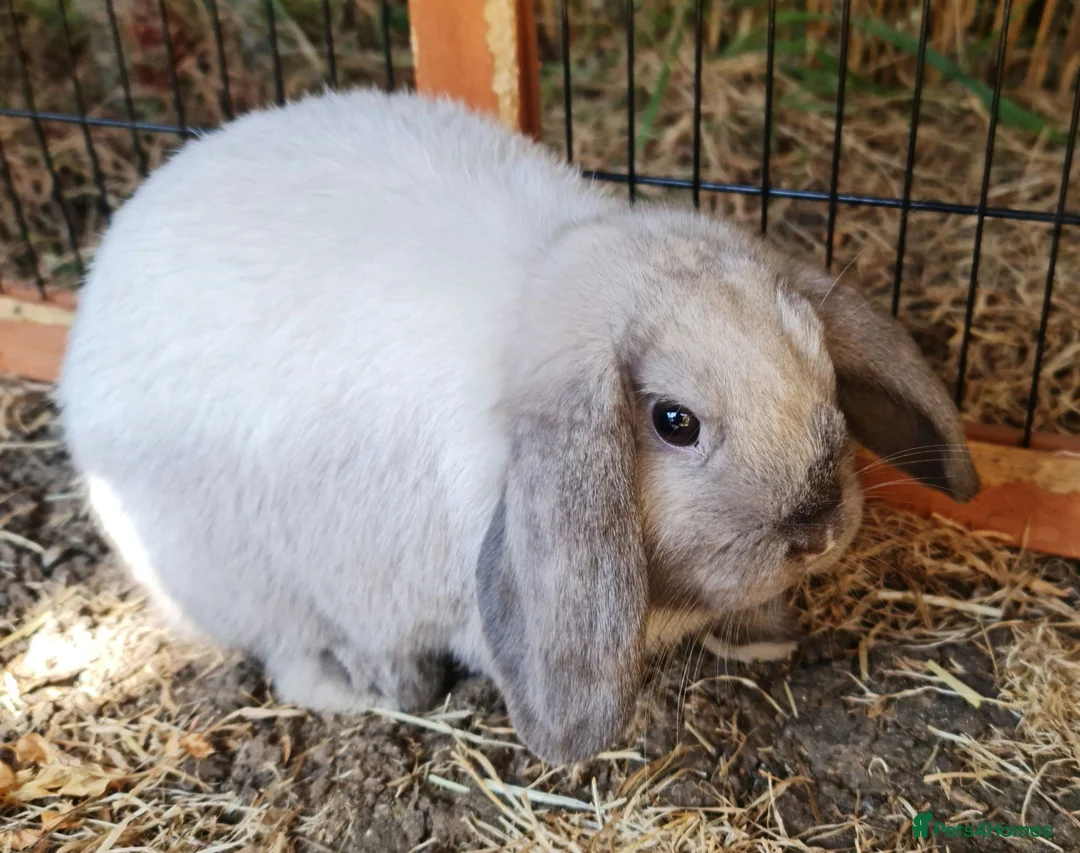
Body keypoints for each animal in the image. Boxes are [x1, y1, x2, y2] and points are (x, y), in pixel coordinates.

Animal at [57, 88, 979, 765]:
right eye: (673, 421)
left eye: (823, 371)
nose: (817, 530)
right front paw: (404, 691)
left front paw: (760, 643)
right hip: (237, 575)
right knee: (288, 655)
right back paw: (354, 690)